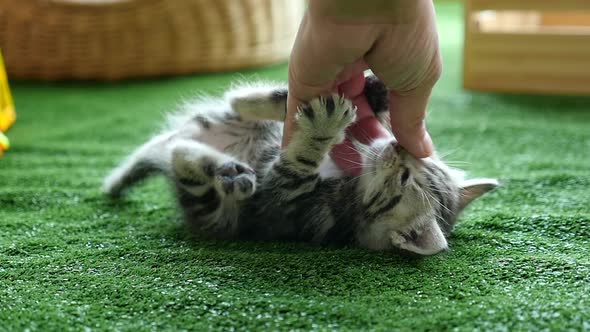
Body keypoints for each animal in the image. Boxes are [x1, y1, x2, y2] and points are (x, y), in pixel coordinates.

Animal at [103, 76, 500, 256]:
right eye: (422, 159)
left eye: (404, 178)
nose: (400, 147)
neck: (352, 178)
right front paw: (374, 96)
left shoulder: (285, 198)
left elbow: (299, 161)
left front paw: (320, 130)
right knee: (235, 105)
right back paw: (255, 103)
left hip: (215, 213)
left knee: (185, 163)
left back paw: (227, 172)